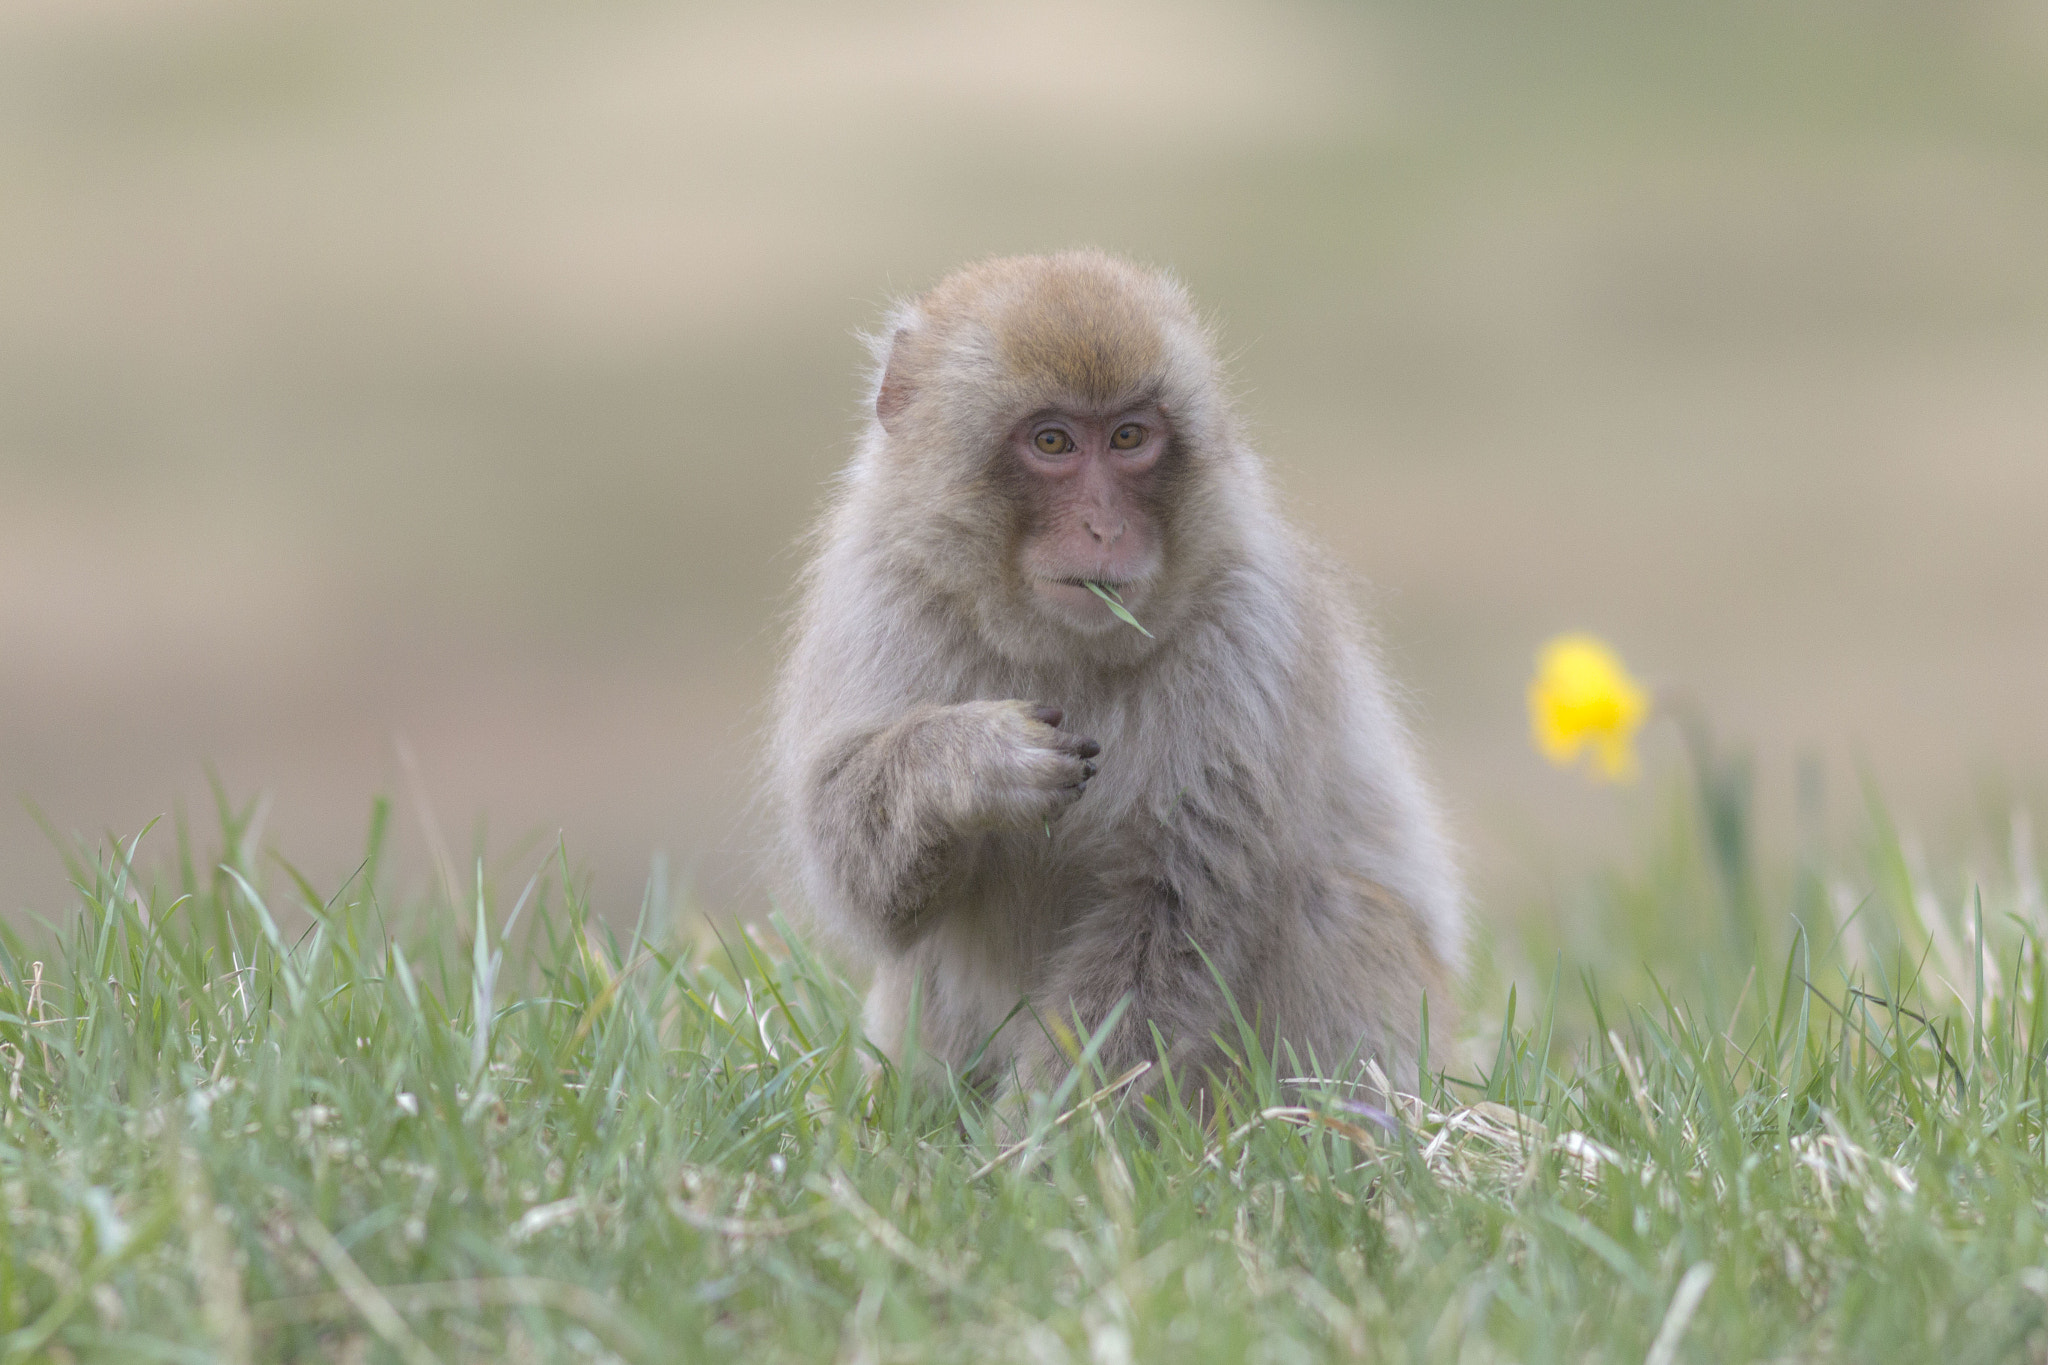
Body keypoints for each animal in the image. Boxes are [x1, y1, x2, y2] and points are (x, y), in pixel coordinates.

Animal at [770, 248, 1458, 1121]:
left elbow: (1167, 916)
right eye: (1053, 440)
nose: (1105, 527)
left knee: (1336, 908)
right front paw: (969, 764)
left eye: (1129, 436)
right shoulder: (879, 597)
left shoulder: (1245, 641)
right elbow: (859, 875)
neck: (1058, 643)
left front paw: (1041, 1141)